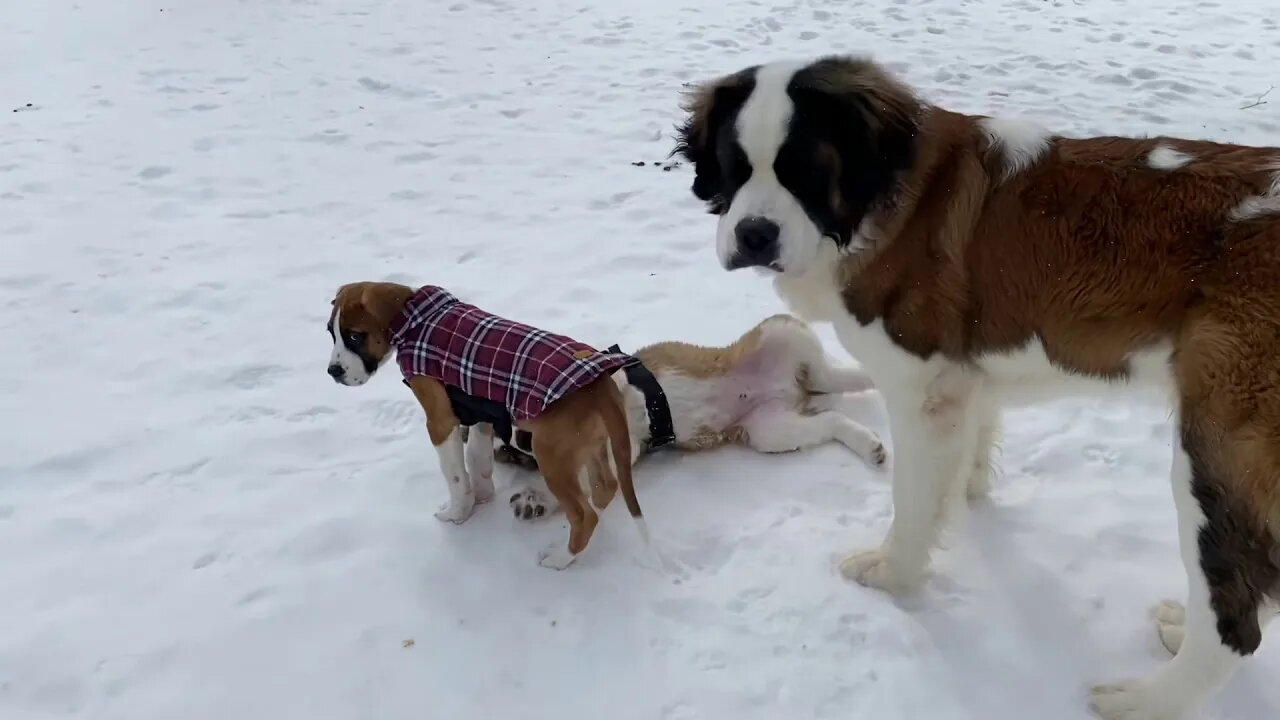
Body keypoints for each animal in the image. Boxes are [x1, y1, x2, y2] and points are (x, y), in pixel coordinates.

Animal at [325, 280, 645, 566]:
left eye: (355, 337)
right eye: (331, 333)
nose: (333, 371)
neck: (415, 320)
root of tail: (600, 386)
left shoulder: (440, 421)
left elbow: (455, 474)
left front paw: (456, 513)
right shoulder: (480, 412)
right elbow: (476, 457)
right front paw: (481, 496)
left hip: (552, 457)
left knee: (583, 515)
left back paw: (559, 559)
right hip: (591, 446)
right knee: (605, 488)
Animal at [491, 311, 890, 517]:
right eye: (518, 456)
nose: (524, 443)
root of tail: (794, 390)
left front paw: (537, 496)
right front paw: (536, 499)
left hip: (783, 334)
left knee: (838, 375)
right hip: (771, 431)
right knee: (831, 420)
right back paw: (869, 445)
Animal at [675, 56, 1280, 717]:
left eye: (805, 171)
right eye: (735, 167)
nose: (754, 234)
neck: (887, 195)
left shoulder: (919, 387)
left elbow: (911, 497)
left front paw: (893, 572)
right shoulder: (964, 379)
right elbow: (964, 449)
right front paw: (965, 498)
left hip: (1215, 453)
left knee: (1235, 621)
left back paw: (1142, 699)